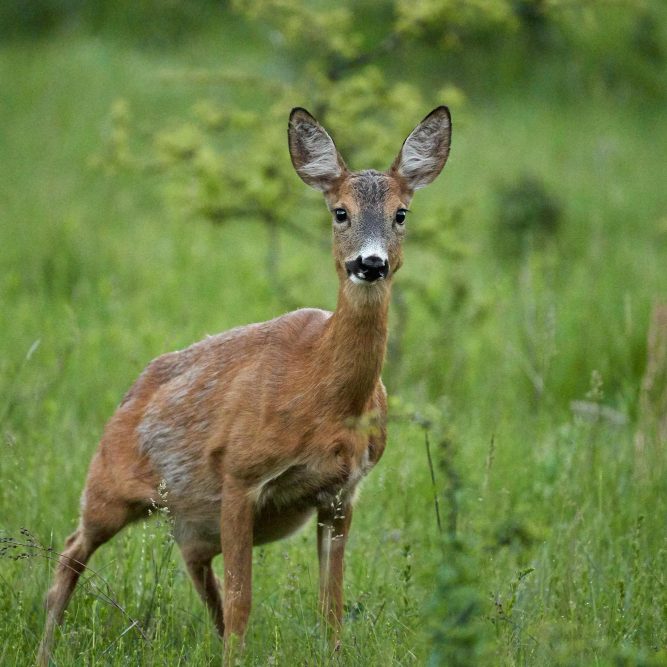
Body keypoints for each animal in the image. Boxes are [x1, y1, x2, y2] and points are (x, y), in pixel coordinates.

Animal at [37, 105, 454, 664]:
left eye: (402, 214)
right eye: (339, 212)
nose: (370, 263)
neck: (327, 398)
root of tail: (129, 395)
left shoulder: (341, 492)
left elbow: (331, 603)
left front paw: (332, 653)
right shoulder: (239, 472)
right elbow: (243, 601)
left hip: (192, 522)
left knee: (195, 571)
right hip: (107, 486)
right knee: (70, 553)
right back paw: (45, 649)